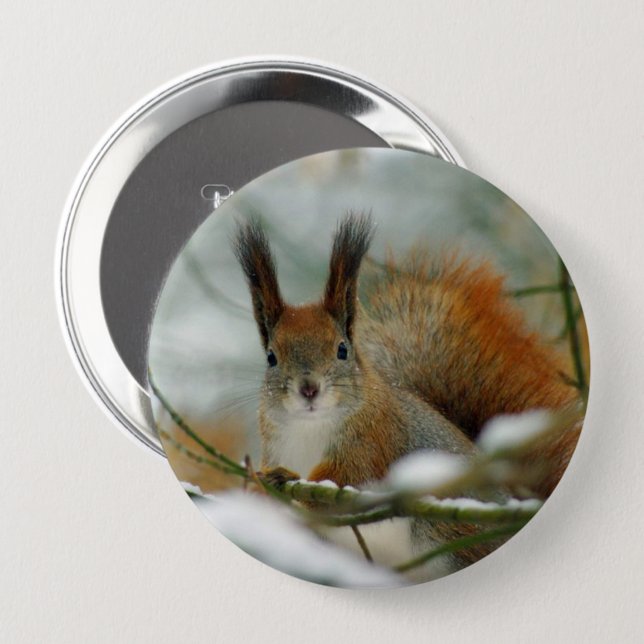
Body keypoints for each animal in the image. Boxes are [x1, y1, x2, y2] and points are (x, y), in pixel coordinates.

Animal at [233, 214, 582, 573]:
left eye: (342, 350)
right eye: (271, 357)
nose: (309, 388)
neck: (309, 426)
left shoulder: (375, 442)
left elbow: (344, 480)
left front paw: (289, 478)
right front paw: (264, 484)